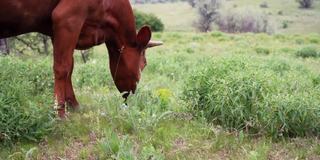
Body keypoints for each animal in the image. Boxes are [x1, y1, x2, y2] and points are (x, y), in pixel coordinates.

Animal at [0, 0, 161, 117]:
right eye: (144, 64)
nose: (131, 94)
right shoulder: (67, 18)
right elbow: (62, 68)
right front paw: (60, 113)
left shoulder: (58, 31)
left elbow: (69, 67)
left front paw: (73, 105)